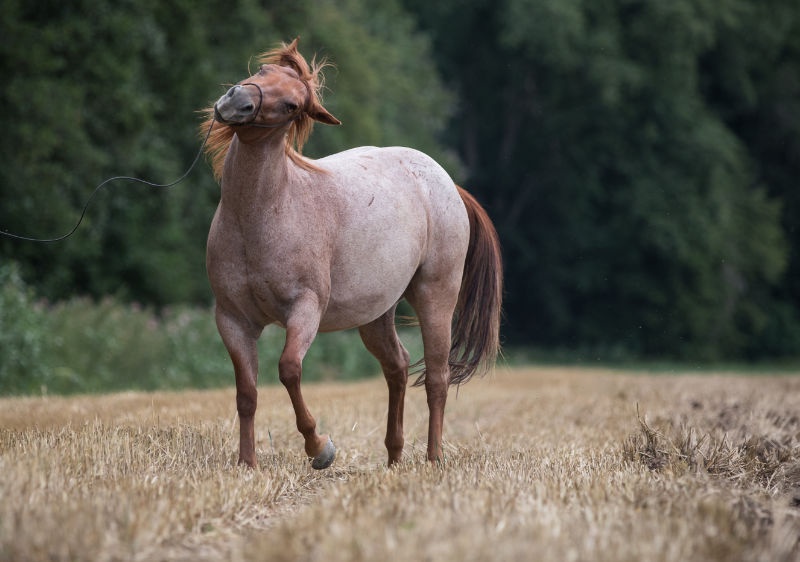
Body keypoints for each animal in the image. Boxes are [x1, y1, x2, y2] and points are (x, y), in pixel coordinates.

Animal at [202, 39, 502, 469]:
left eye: (292, 105)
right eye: (262, 71)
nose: (237, 101)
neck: (262, 215)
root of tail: (447, 184)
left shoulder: (305, 309)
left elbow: (289, 370)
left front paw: (319, 447)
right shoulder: (232, 320)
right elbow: (247, 394)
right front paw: (247, 464)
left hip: (436, 297)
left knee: (437, 378)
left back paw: (433, 459)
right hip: (376, 315)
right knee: (397, 366)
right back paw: (393, 456)